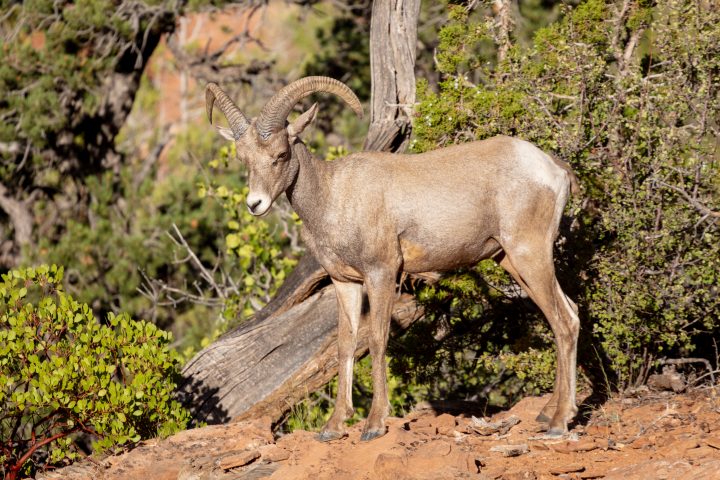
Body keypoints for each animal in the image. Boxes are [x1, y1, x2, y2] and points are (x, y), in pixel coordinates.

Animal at [205, 76, 580, 442]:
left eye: (281, 154)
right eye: (243, 159)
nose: (255, 204)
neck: (334, 197)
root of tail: (554, 170)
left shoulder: (381, 275)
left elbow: (377, 340)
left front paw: (374, 425)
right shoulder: (346, 283)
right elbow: (346, 344)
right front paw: (332, 428)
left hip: (529, 254)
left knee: (563, 322)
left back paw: (558, 424)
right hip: (512, 261)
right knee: (571, 314)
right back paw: (551, 412)